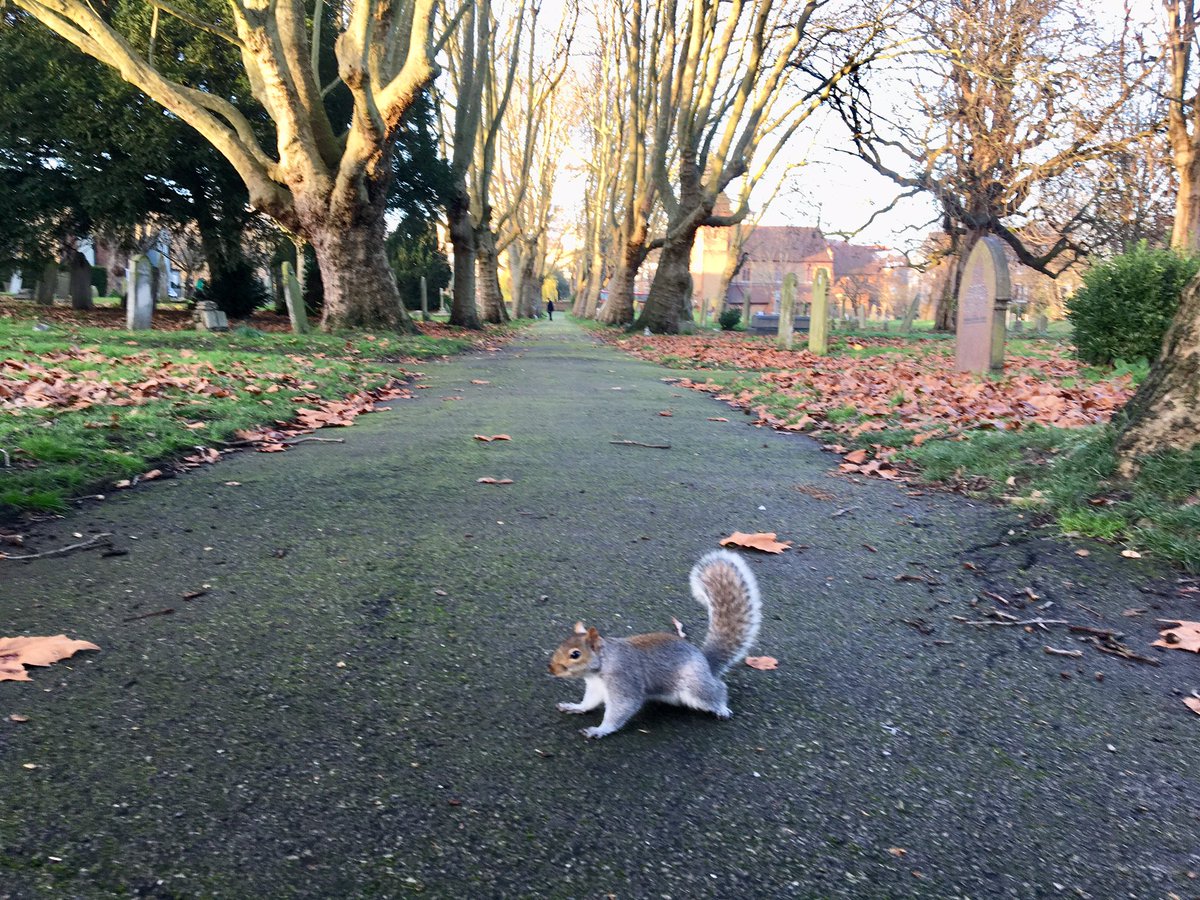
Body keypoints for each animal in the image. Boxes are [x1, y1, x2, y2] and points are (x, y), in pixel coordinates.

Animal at [547, 549, 762, 739]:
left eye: (575, 654)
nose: (551, 669)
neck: (603, 664)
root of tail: (706, 663)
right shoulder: (595, 687)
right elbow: (589, 702)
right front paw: (575, 707)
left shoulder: (624, 681)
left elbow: (622, 708)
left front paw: (600, 730)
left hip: (694, 686)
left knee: (716, 690)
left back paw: (721, 708)